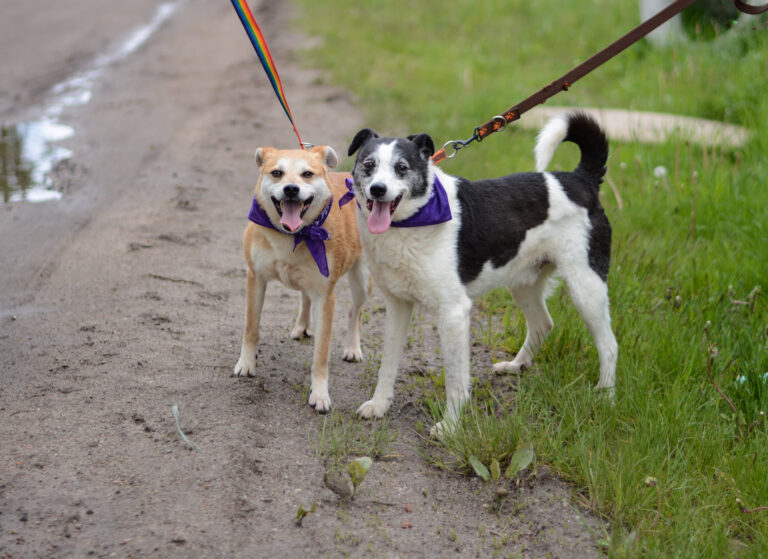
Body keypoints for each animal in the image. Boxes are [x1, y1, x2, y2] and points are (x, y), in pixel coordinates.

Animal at [232, 147, 368, 414]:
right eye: (277, 173)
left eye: (307, 174)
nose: (291, 189)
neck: (293, 235)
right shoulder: (255, 278)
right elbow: (251, 328)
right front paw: (246, 363)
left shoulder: (325, 297)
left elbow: (321, 354)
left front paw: (320, 394)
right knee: (305, 297)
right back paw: (302, 325)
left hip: (362, 280)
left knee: (354, 312)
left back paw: (352, 347)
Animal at [348, 111, 616, 436]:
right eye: (368, 165)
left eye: (401, 168)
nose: (378, 189)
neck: (413, 220)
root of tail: (580, 179)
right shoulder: (398, 305)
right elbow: (388, 364)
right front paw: (379, 405)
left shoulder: (454, 312)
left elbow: (455, 380)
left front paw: (450, 427)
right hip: (524, 282)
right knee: (543, 324)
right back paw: (516, 366)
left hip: (586, 285)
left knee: (609, 344)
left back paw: (605, 395)